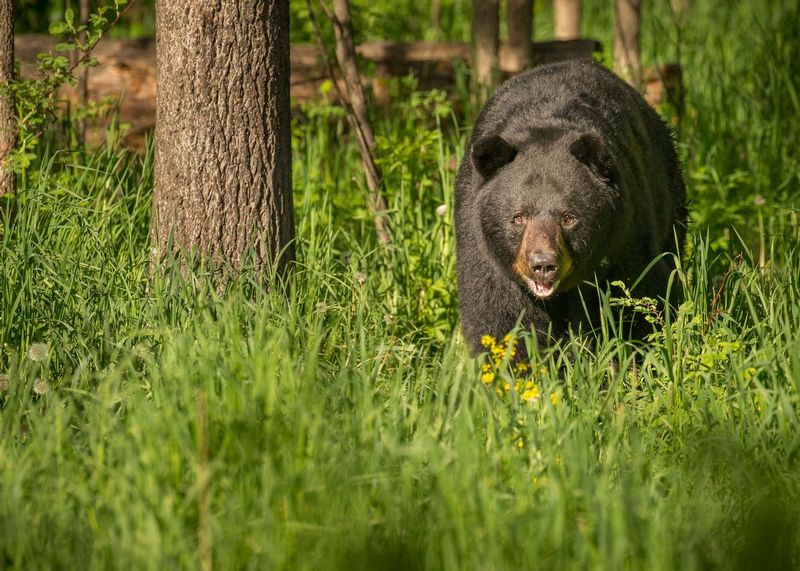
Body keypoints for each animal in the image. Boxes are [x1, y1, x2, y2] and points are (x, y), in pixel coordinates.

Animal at [455, 59, 687, 355]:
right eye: (518, 217)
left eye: (568, 217)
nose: (543, 264)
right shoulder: (485, 254)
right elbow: (501, 319)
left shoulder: (626, 240)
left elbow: (636, 300)